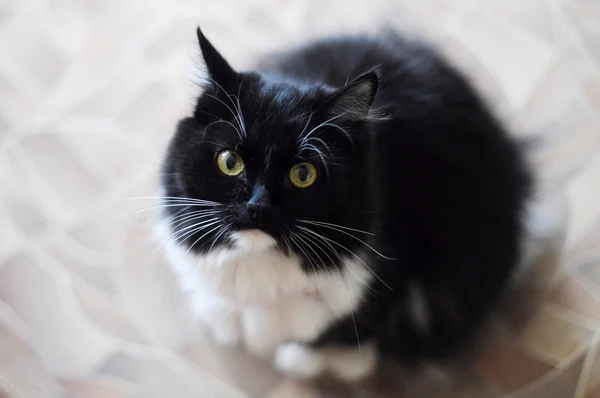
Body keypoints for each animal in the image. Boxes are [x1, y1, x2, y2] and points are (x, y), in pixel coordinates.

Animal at [157, 26, 532, 380]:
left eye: (303, 173)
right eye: (229, 161)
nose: (257, 206)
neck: (262, 266)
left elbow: (350, 327)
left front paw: (312, 360)